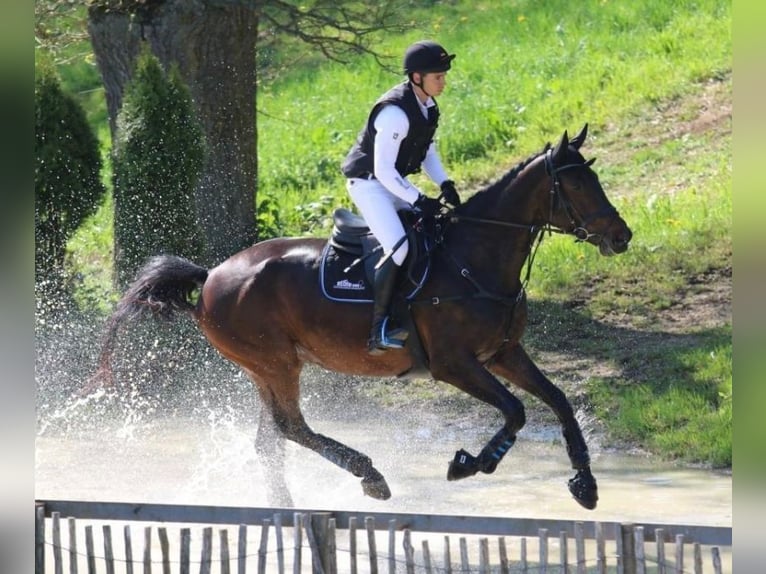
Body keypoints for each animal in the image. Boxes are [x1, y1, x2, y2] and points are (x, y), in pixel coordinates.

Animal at [93, 124, 632, 510]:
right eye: (575, 184)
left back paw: (287, 510)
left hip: (263, 370)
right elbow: (516, 411)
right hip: (276, 363)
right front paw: (468, 464)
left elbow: (558, 401)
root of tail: (210, 278)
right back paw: (371, 477)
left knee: (271, 440)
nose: (621, 236)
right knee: (292, 428)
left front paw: (585, 485)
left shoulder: (502, 353)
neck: (474, 258)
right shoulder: (454, 364)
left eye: (595, 177)